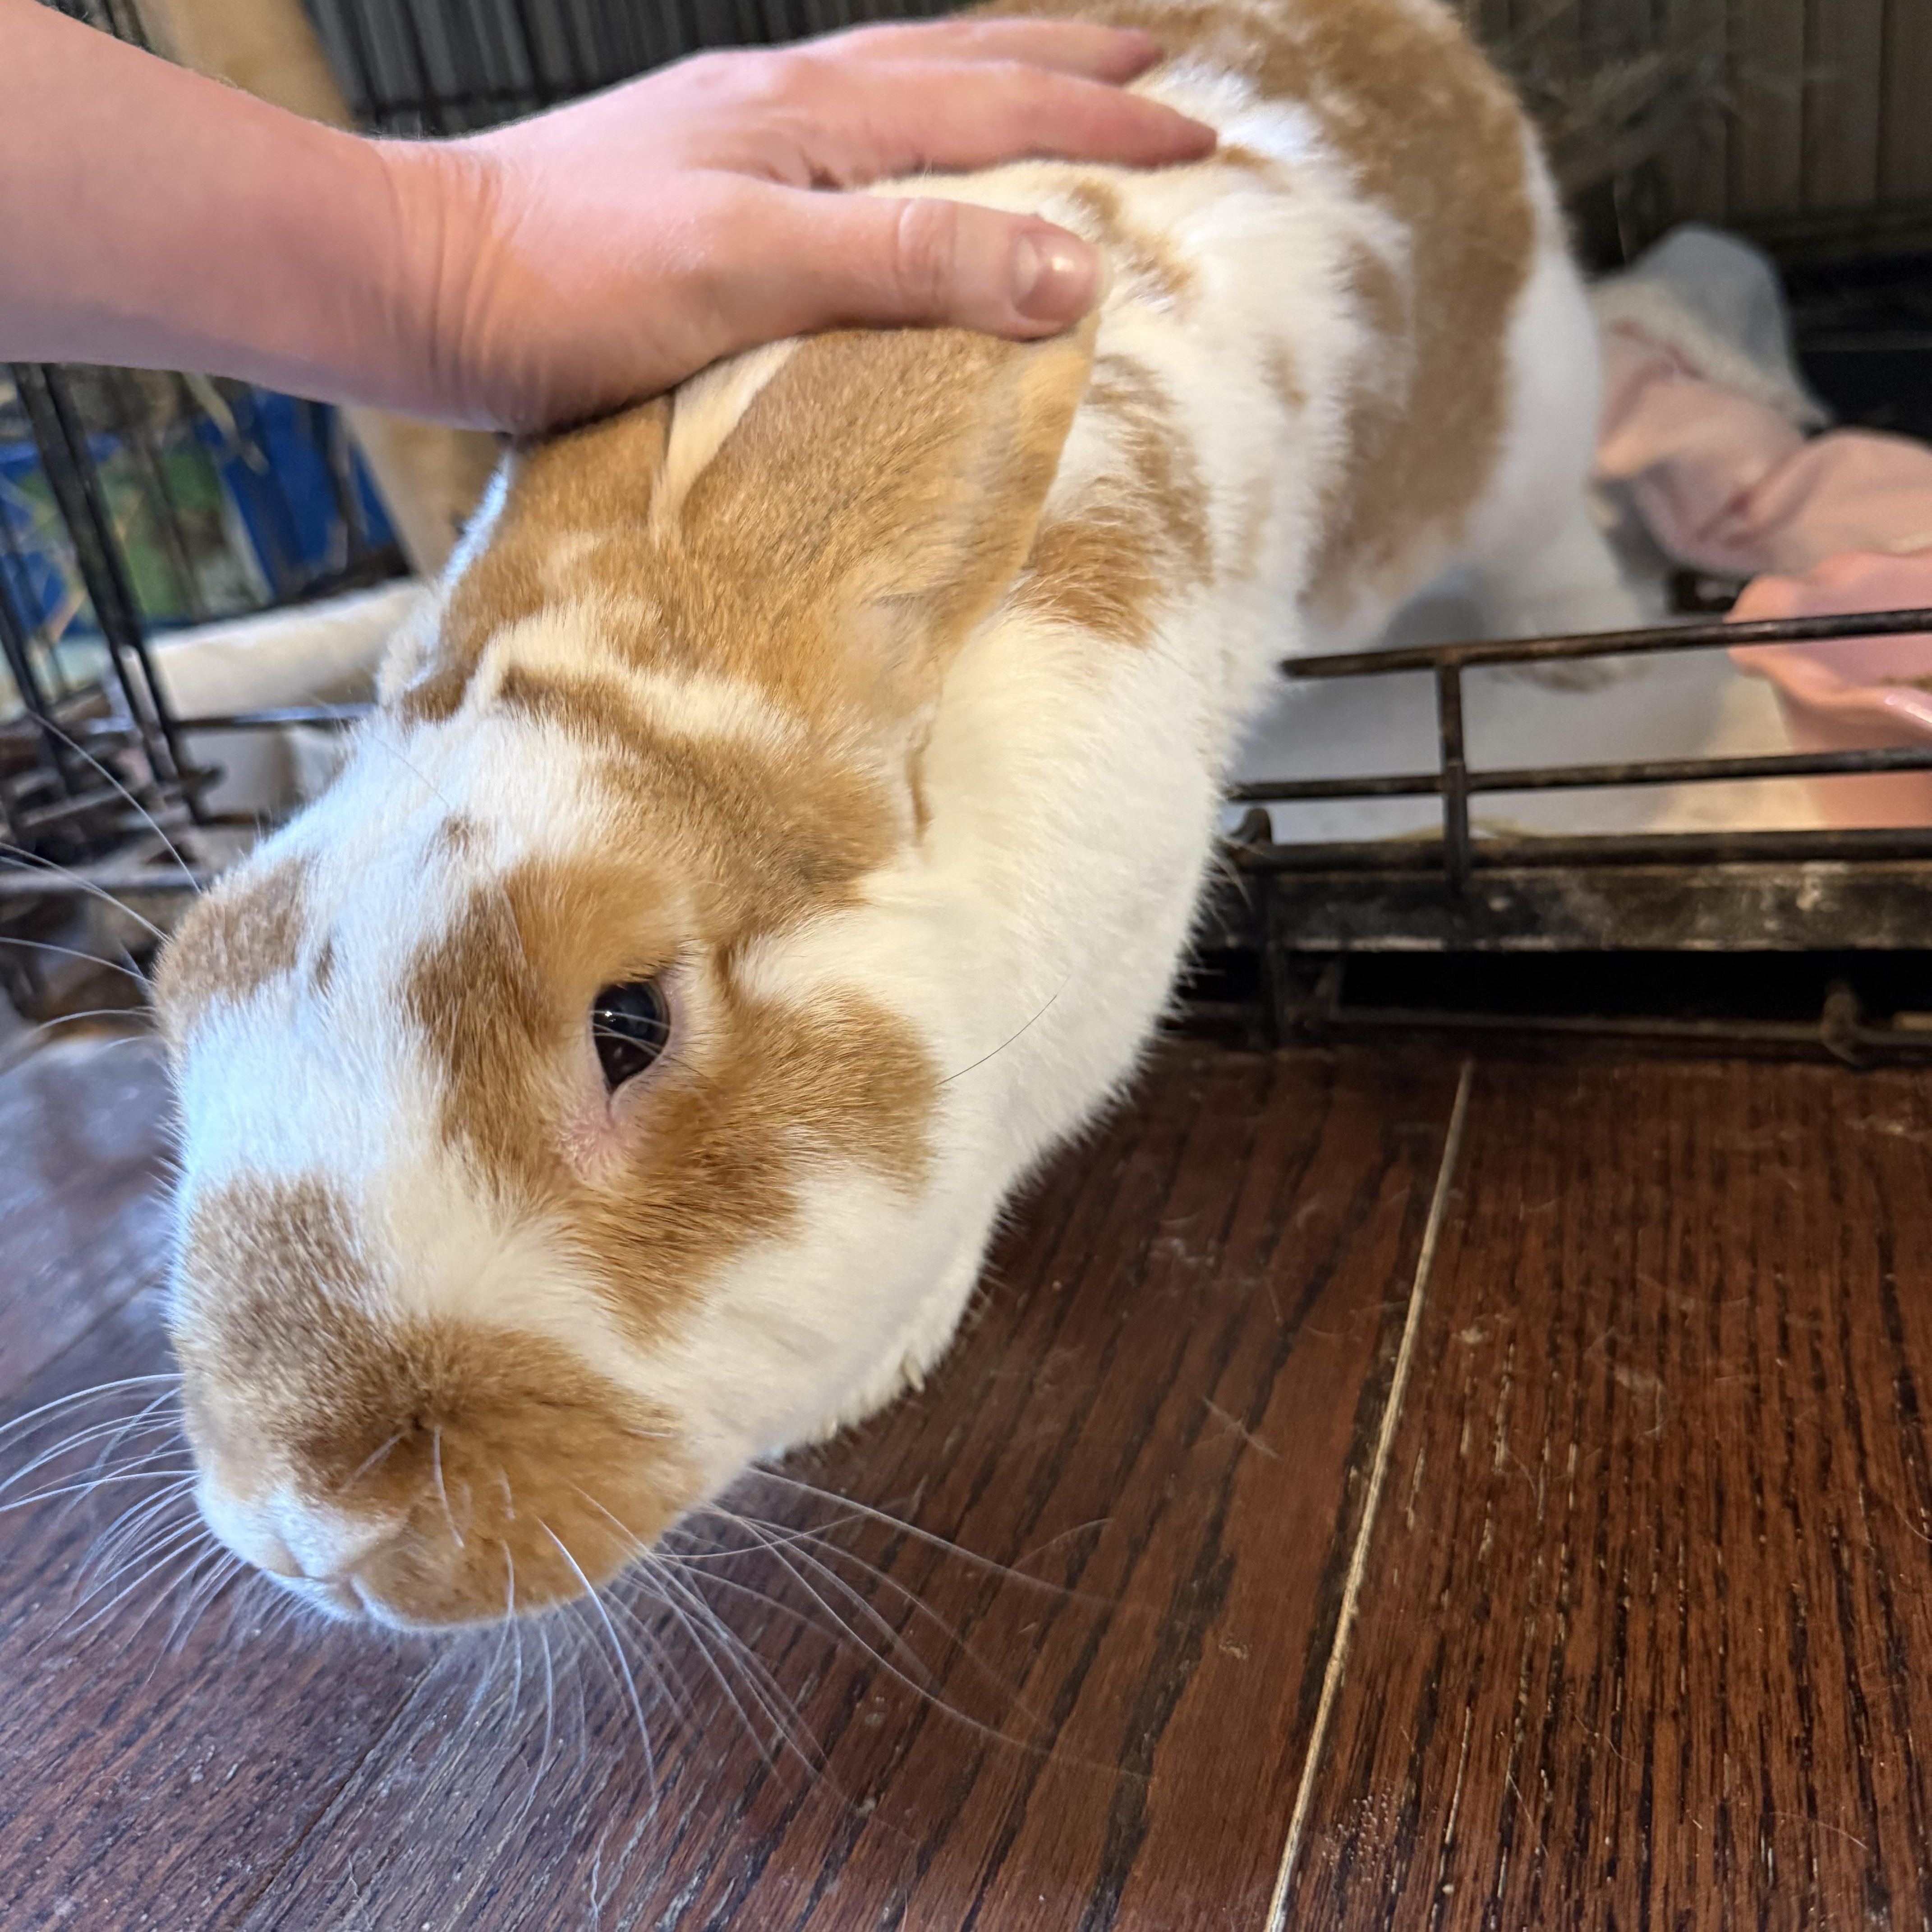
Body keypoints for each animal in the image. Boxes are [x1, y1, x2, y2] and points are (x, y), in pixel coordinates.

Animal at [154, 0, 1626, 1629]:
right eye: (186, 986)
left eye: (628, 1024)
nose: (306, 1534)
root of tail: (1413, 35)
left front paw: (885, 1362)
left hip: (1527, 437)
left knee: (1561, 551)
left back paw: (1588, 673)